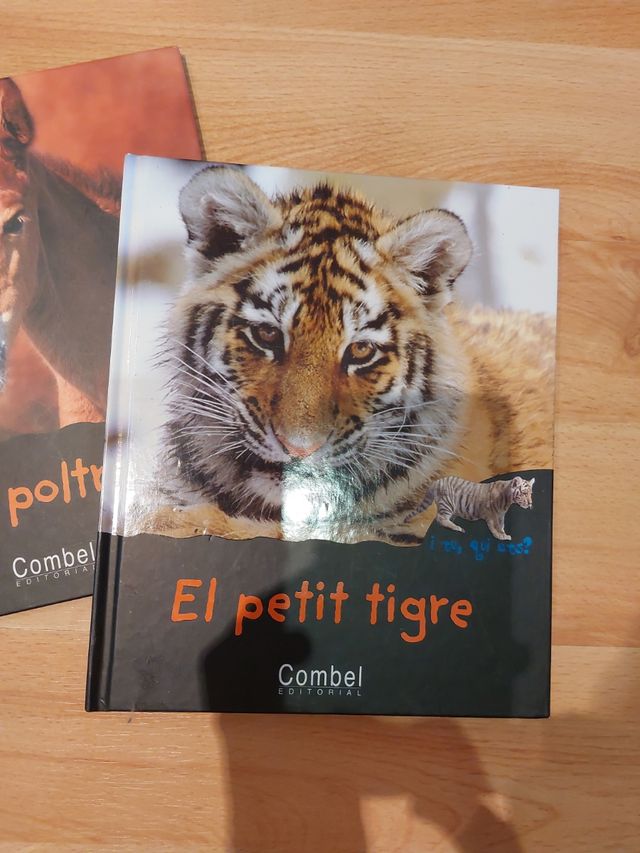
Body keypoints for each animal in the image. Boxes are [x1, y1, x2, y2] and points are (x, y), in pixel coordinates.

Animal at [406, 475, 535, 540]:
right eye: (524, 493)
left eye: (531, 493)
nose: (530, 504)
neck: (507, 500)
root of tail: (435, 482)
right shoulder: (491, 514)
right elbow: (494, 527)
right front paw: (501, 536)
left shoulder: (500, 515)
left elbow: (501, 525)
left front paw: (503, 533)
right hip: (447, 504)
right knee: (440, 518)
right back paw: (458, 528)